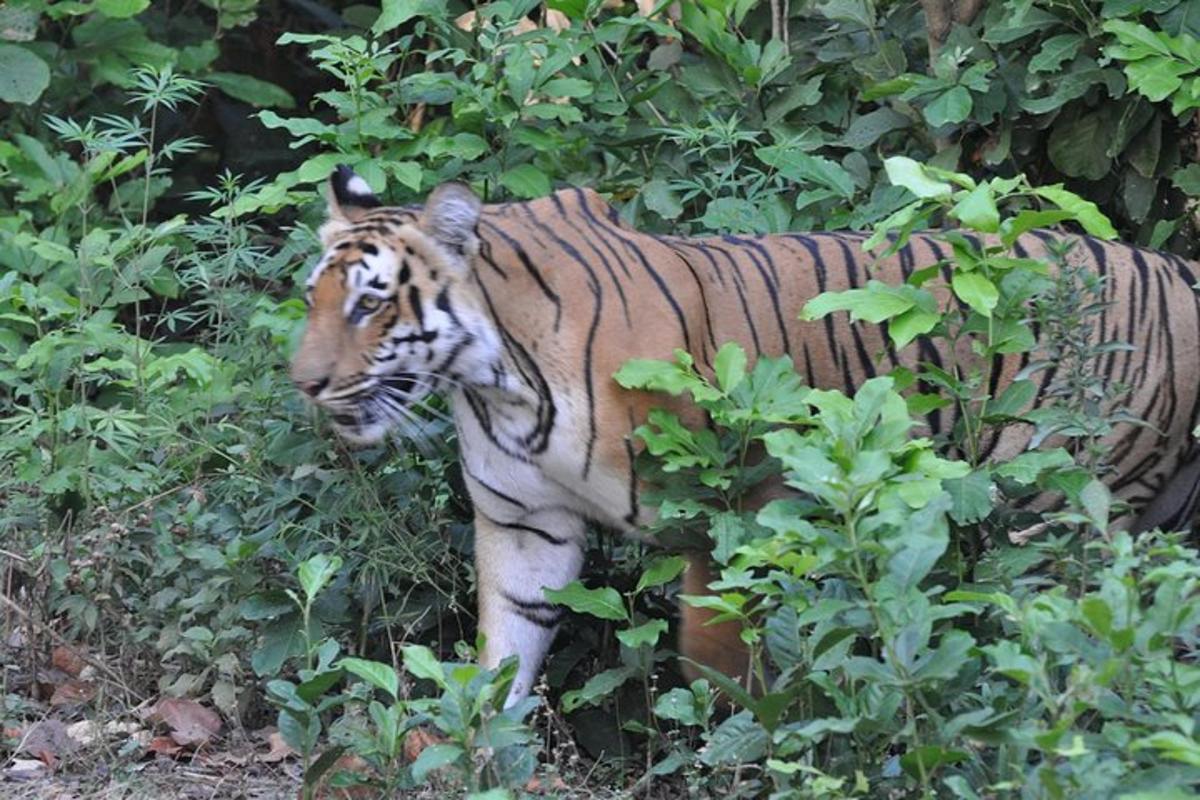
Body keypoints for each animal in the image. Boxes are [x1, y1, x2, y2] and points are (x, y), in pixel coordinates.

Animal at [290, 165, 1200, 705]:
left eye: (370, 303)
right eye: (313, 297)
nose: (305, 383)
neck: (498, 383)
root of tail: (1173, 267)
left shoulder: (738, 508)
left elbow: (718, 659)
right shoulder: (525, 526)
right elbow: (507, 653)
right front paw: (486, 755)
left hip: (1057, 508)